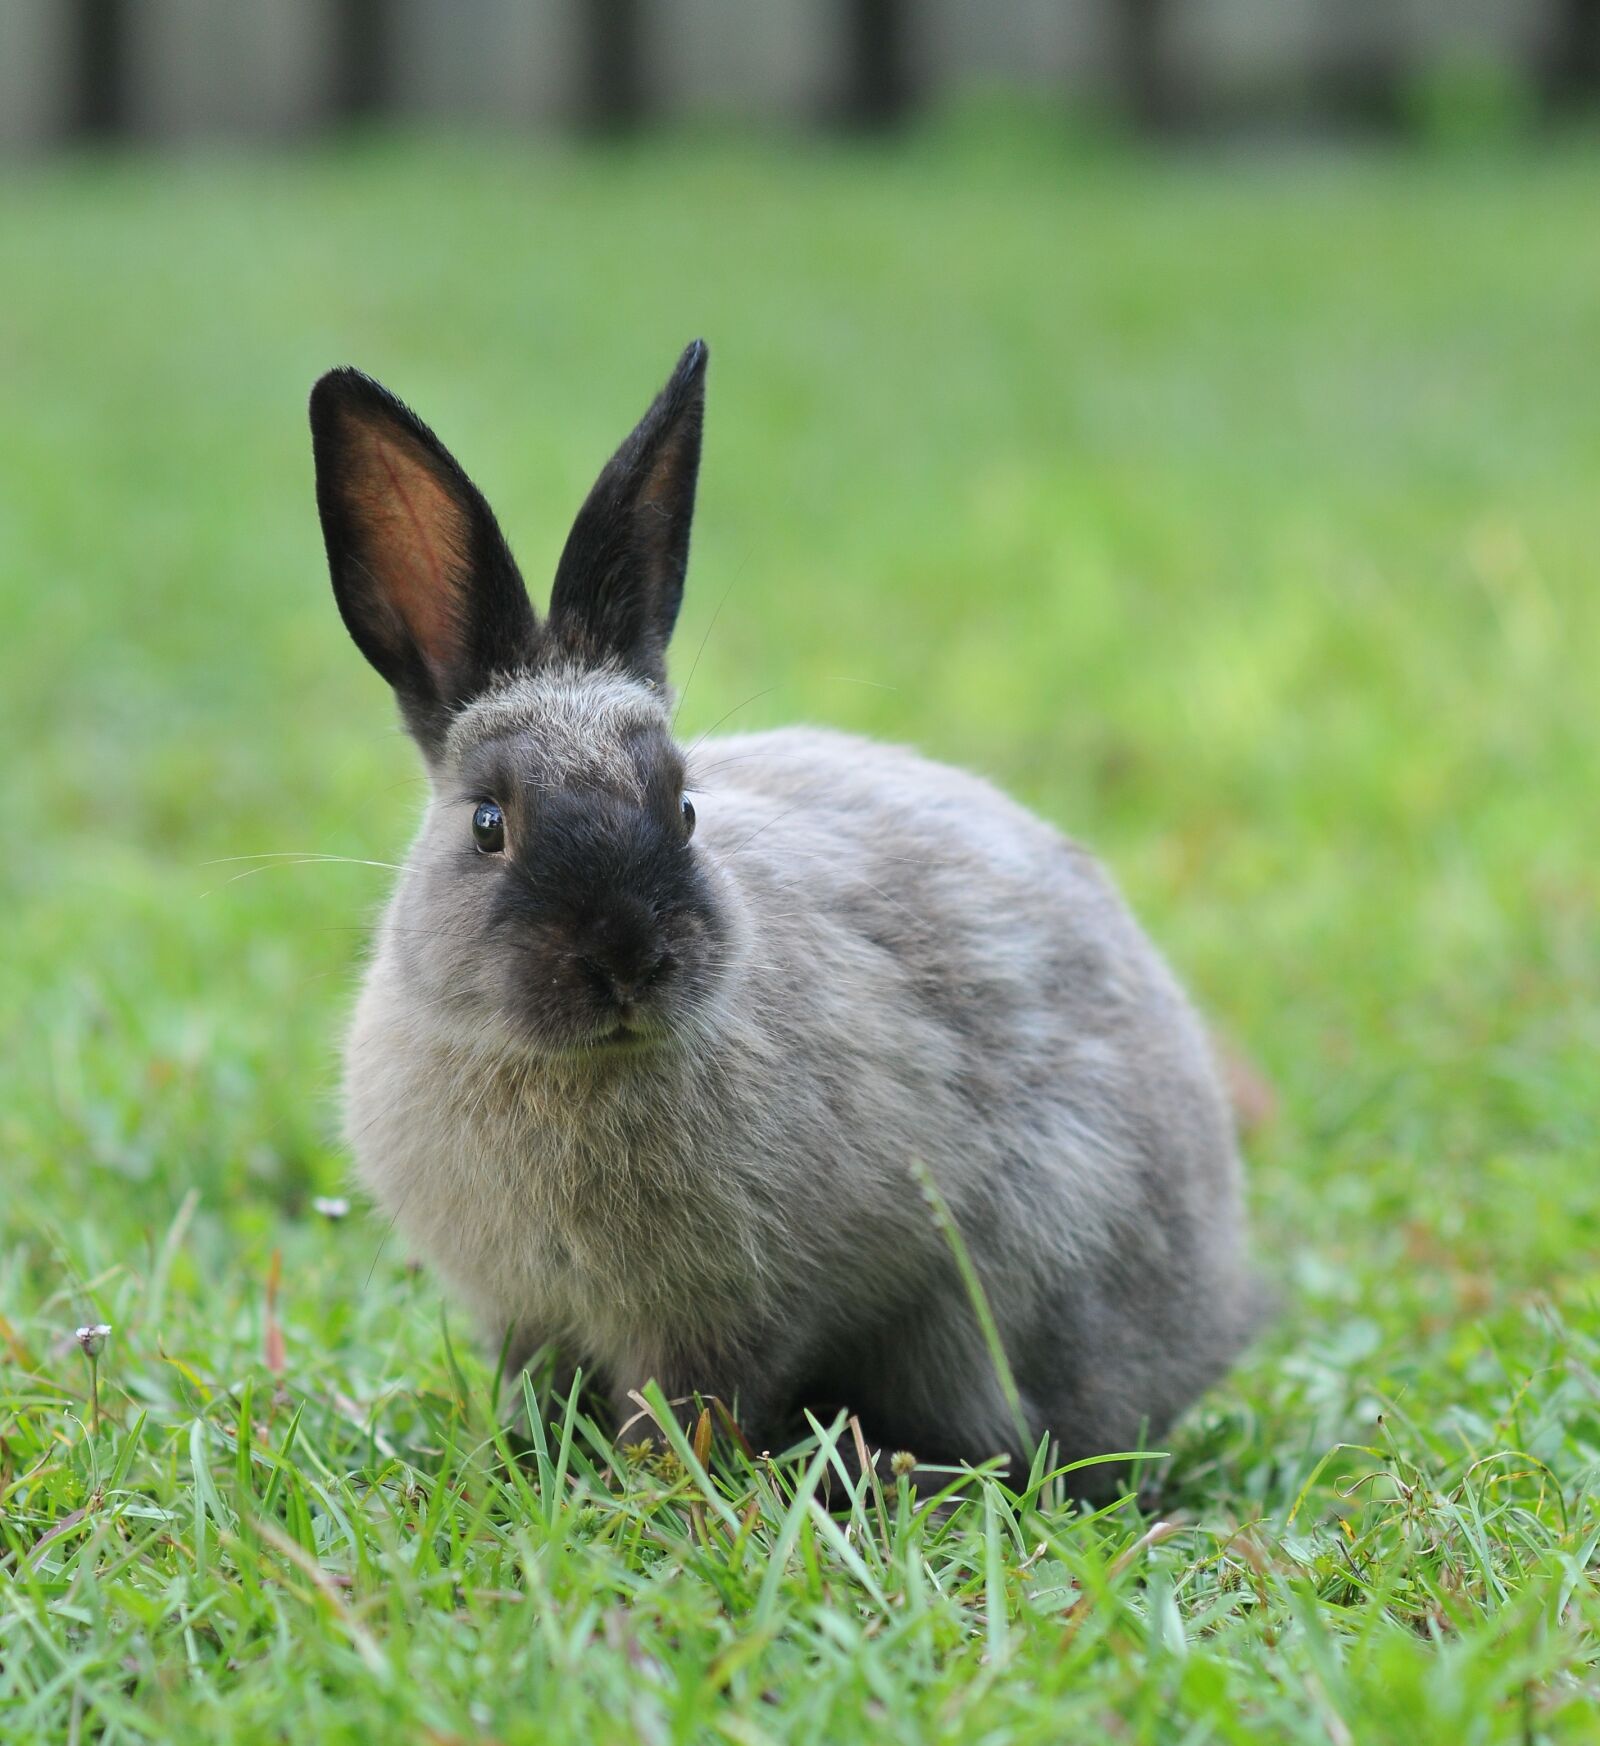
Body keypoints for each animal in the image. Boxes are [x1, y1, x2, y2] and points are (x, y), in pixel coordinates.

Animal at [308, 339, 1263, 1491]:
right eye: (489, 824)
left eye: (683, 808)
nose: (625, 959)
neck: (575, 1071)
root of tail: (1214, 1325)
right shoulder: (530, 1317)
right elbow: (544, 1386)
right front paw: (535, 1462)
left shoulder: (732, 1316)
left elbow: (688, 1406)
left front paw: (654, 1485)